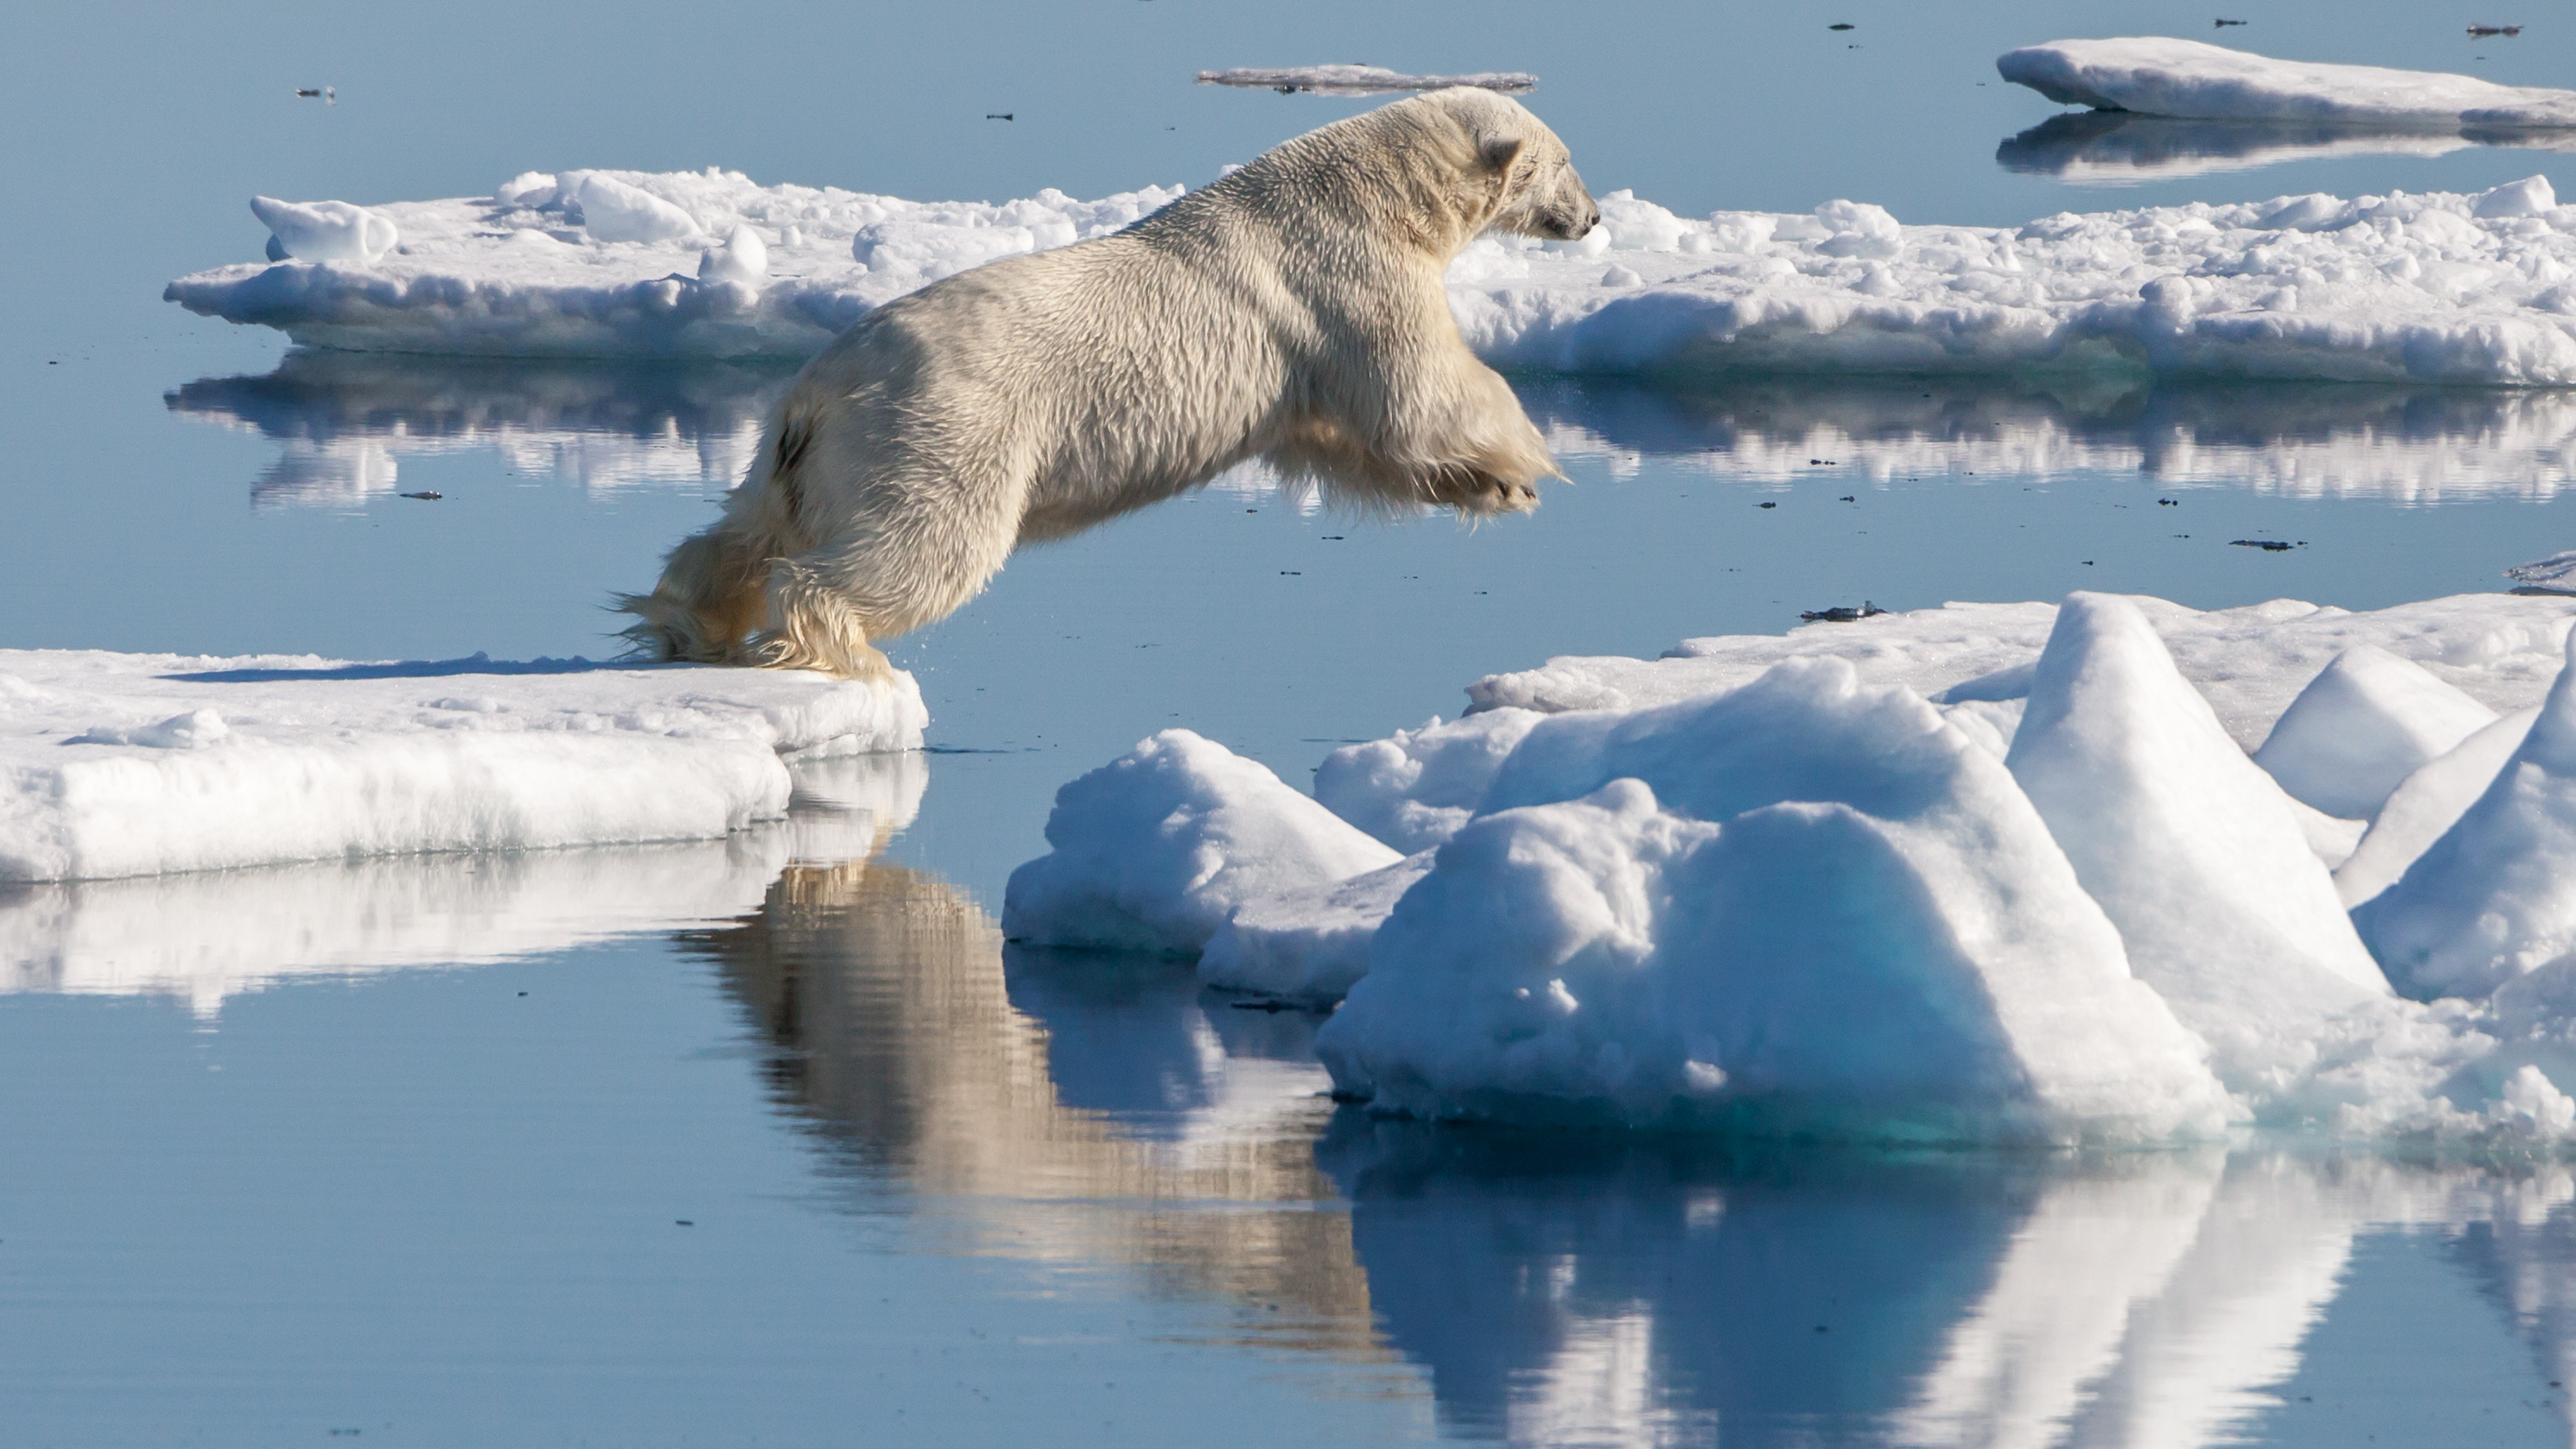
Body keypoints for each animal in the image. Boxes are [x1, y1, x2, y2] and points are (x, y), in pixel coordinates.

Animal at [617, 87, 1586, 675]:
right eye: (1568, 162)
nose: (1590, 219)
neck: (1370, 189)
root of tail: (814, 391)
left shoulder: (1299, 358)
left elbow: (1340, 441)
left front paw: (1490, 487)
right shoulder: (1342, 276)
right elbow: (1419, 391)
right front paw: (1528, 461)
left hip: (802, 452)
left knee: (747, 529)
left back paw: (682, 623)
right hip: (938, 428)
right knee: (914, 549)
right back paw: (845, 647)